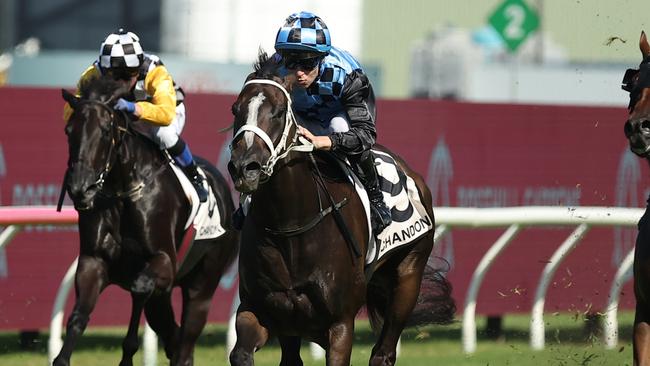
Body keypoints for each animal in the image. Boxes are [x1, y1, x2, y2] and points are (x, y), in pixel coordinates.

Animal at [55, 77, 238, 366]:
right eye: (68, 130)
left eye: (105, 131)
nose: (80, 188)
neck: (122, 191)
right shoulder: (93, 262)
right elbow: (78, 316)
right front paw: (61, 357)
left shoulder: (164, 263)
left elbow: (139, 288)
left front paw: (127, 354)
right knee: (174, 338)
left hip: (203, 285)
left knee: (185, 341)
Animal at [228, 52, 456, 366]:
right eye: (235, 109)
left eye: (278, 111)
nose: (244, 167)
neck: (291, 227)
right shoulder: (261, 310)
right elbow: (241, 354)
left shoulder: (340, 325)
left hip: (408, 276)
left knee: (383, 352)